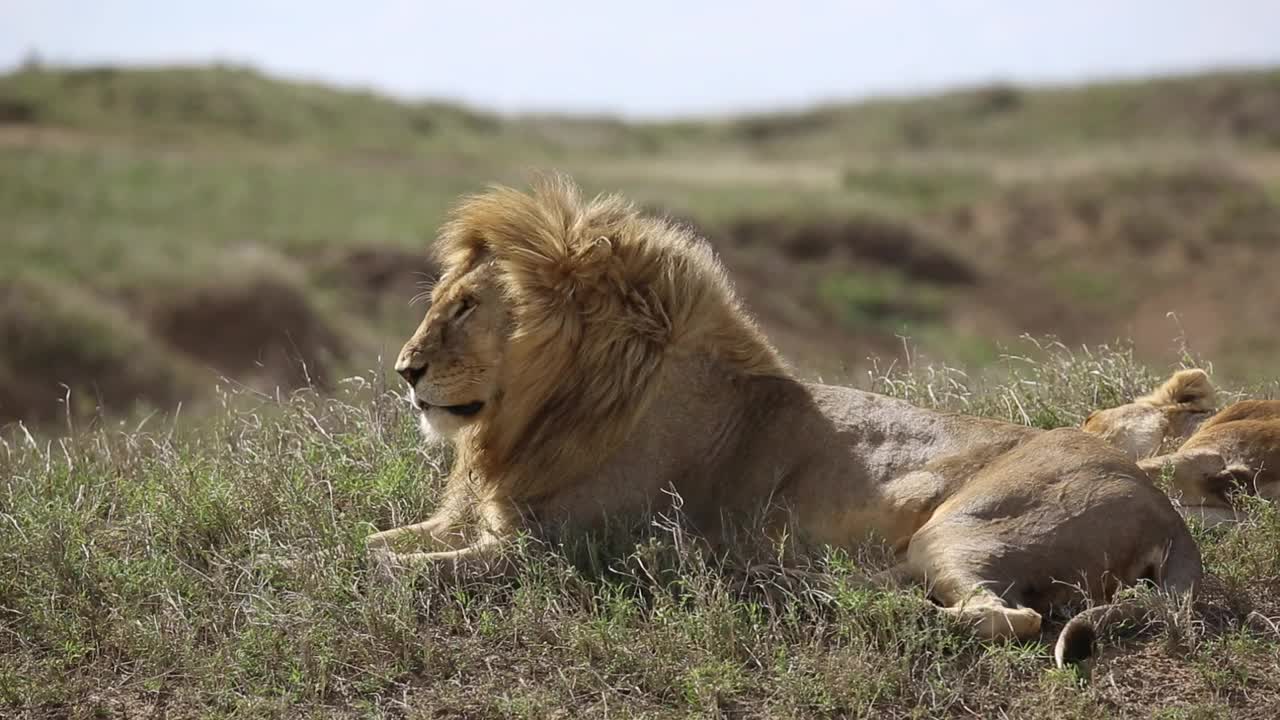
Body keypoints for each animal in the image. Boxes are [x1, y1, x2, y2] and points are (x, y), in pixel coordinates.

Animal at [368, 176, 1198, 666]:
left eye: (466, 308)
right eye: (440, 301)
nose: (405, 370)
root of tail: (1161, 505)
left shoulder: (558, 549)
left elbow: (395, 569)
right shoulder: (482, 521)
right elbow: (376, 542)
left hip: (963, 528)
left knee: (1010, 619)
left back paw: (861, 608)